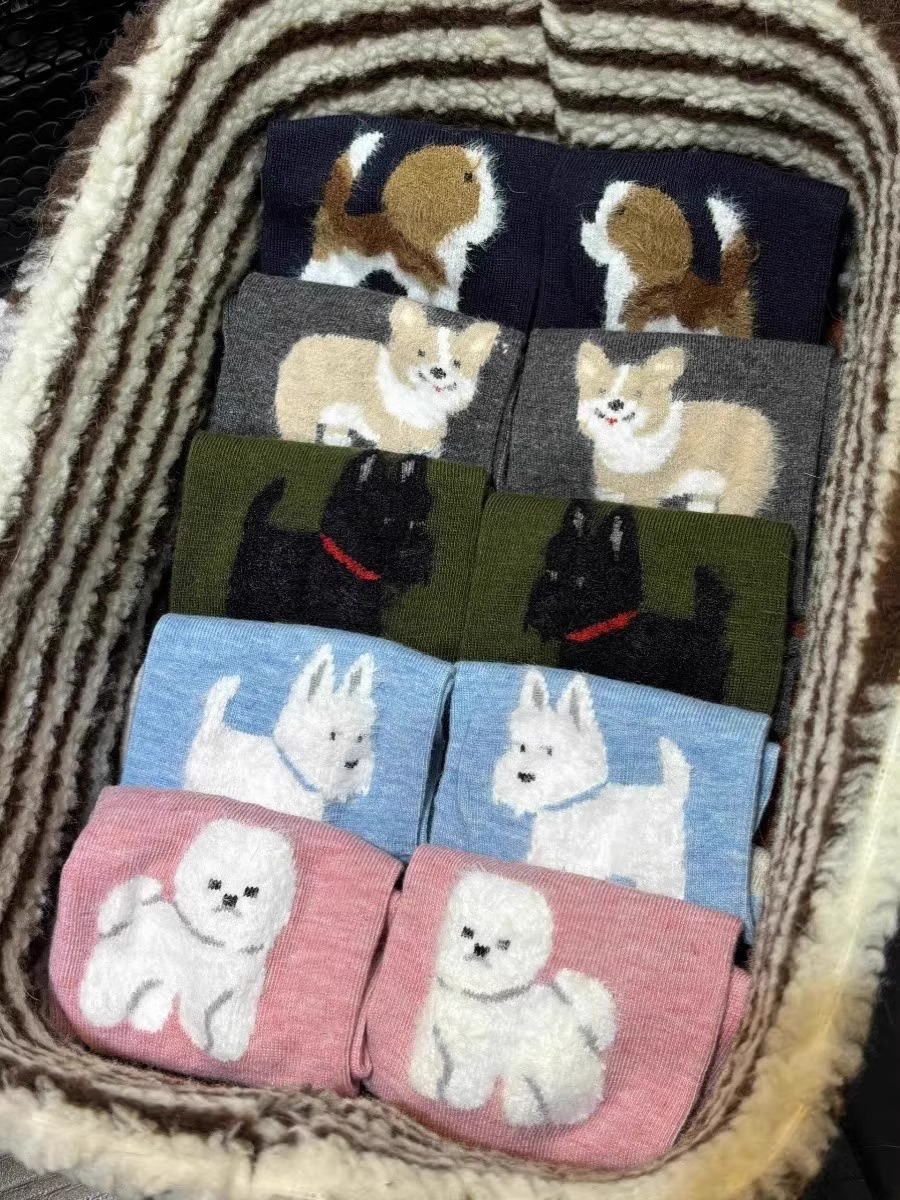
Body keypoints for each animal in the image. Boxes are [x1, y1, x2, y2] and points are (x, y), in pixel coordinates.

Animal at [79, 819, 296, 1062]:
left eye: (251, 891)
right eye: (214, 883)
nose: (230, 898)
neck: (221, 944)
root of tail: (123, 920)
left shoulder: (237, 996)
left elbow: (230, 1022)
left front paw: (227, 1046)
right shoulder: (202, 993)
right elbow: (200, 1017)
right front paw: (208, 1041)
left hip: (154, 980)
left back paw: (147, 1024)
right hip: (122, 970)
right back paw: (100, 1011)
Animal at [274, 298, 500, 454]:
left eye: (457, 363)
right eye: (420, 352)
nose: (438, 371)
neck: (421, 399)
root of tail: (303, 343)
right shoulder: (391, 429)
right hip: (300, 404)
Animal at [409, 870, 616, 1126]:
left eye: (504, 944)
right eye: (467, 931)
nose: (481, 947)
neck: (478, 996)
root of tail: (585, 1024)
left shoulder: (476, 1056)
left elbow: (466, 1077)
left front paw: (461, 1097)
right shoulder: (434, 1039)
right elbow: (432, 1064)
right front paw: (426, 1085)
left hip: (551, 1069)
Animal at [492, 670, 690, 896]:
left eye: (550, 751)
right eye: (522, 747)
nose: (524, 775)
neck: (568, 808)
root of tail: (671, 792)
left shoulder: (586, 860)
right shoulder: (546, 854)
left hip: (660, 860)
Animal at [576, 342, 777, 513]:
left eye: (638, 393)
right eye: (602, 390)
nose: (616, 403)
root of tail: (762, 421)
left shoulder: (643, 492)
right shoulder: (610, 490)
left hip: (744, 482)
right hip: (709, 483)